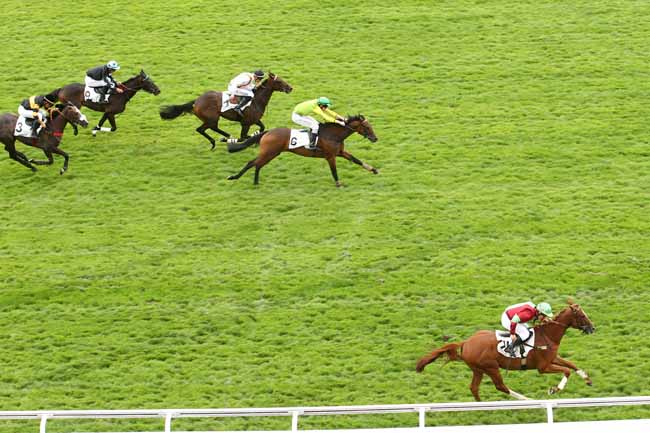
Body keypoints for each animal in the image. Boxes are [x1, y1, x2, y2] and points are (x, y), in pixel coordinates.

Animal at [159, 72, 293, 149]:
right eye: (279, 81)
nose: (290, 88)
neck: (256, 100)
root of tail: (196, 101)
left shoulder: (254, 120)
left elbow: (262, 128)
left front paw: (255, 140)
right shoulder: (245, 123)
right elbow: (243, 137)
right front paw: (249, 141)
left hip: (211, 119)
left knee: (208, 128)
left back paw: (224, 137)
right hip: (211, 118)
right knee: (202, 129)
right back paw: (219, 140)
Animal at [226, 115, 379, 187]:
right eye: (367, 127)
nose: (375, 138)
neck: (333, 135)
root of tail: (267, 132)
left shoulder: (340, 153)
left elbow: (356, 160)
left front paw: (373, 170)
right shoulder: (330, 156)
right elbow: (334, 171)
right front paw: (338, 184)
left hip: (271, 153)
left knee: (256, 164)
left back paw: (252, 181)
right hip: (269, 152)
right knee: (253, 163)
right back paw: (238, 178)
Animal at [415, 300, 595, 401]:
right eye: (582, 316)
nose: (592, 328)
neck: (547, 336)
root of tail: (466, 342)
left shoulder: (552, 359)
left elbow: (572, 365)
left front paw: (587, 378)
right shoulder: (543, 367)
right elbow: (567, 371)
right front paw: (554, 389)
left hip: (478, 369)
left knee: (474, 388)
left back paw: (483, 405)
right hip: (491, 367)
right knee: (501, 386)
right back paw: (526, 399)